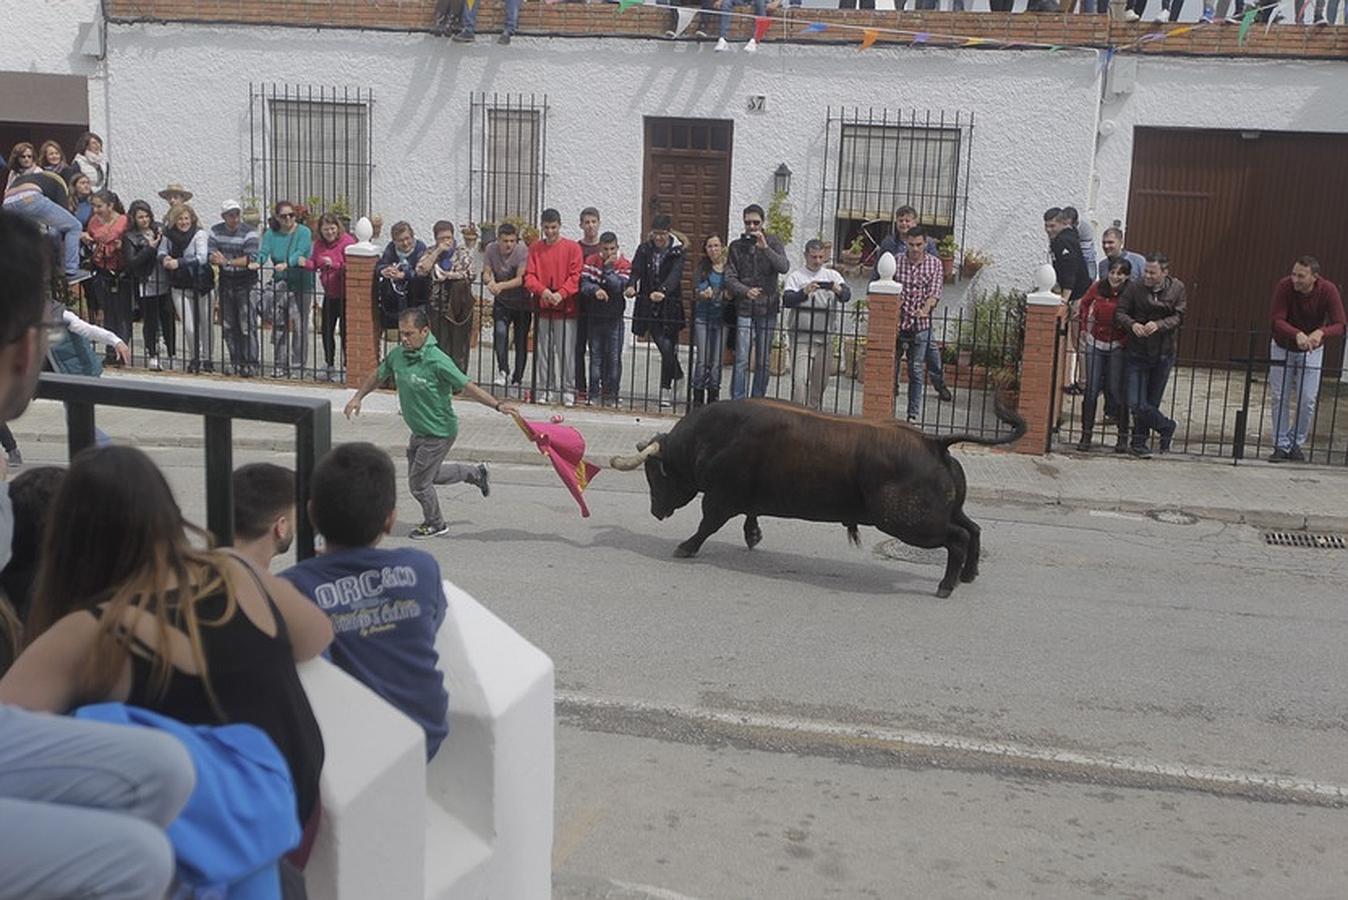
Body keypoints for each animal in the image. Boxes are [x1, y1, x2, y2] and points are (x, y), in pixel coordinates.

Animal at [614, 398, 1029, 598]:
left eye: (654, 474)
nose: (656, 511)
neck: (709, 438)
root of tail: (933, 441)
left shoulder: (719, 498)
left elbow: (707, 525)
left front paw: (685, 546)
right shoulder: (741, 496)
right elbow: (749, 515)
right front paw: (753, 536)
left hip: (911, 522)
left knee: (957, 538)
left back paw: (946, 585)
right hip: (940, 513)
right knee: (972, 529)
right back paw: (968, 575)